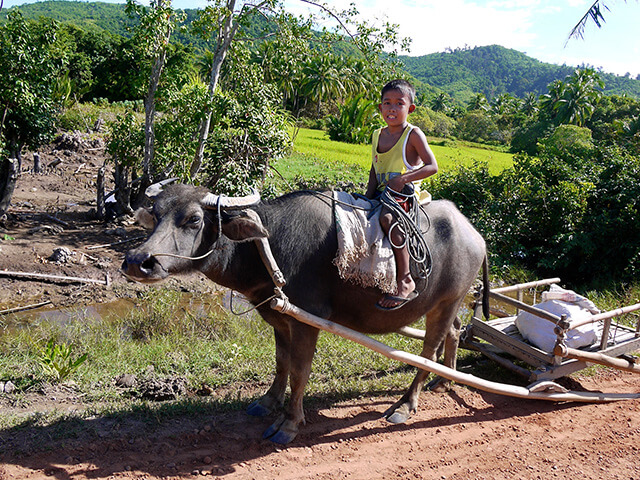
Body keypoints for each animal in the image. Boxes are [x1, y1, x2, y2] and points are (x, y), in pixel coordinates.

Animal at [122, 183, 488, 442]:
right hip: (448, 303)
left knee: (429, 350)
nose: (138, 261)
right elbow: (281, 362)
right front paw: (268, 402)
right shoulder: (279, 318)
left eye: (194, 220)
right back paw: (445, 380)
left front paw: (289, 424)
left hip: (447, 301)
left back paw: (406, 405)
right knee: (455, 332)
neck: (268, 246)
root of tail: (475, 234)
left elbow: (300, 371)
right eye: (156, 215)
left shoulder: (306, 321)